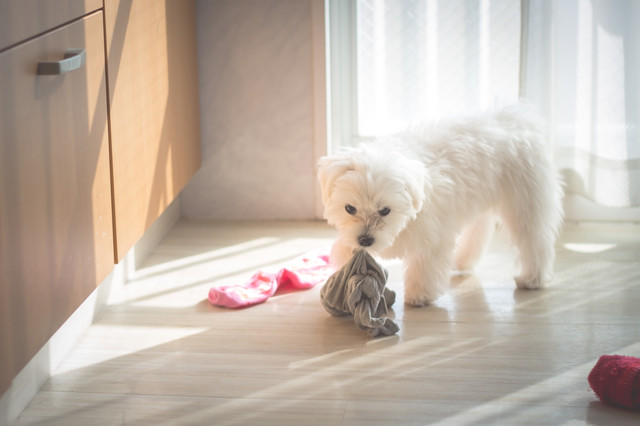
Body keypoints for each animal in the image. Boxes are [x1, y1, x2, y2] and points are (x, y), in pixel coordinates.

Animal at [318, 105, 564, 308]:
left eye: (385, 210)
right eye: (350, 209)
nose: (365, 240)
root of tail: (520, 121)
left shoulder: (432, 234)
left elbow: (424, 265)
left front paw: (419, 295)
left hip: (525, 203)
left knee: (534, 240)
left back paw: (532, 279)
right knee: (479, 231)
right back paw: (462, 262)